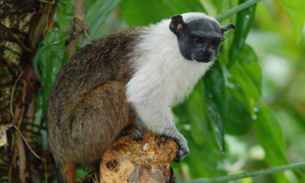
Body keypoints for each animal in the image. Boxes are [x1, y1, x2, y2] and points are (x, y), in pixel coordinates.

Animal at [46, 12, 234, 182]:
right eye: (198, 40)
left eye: (214, 42)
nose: (207, 52)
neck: (175, 46)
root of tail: (56, 147)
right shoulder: (161, 62)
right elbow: (142, 95)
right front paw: (176, 137)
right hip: (77, 137)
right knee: (114, 89)